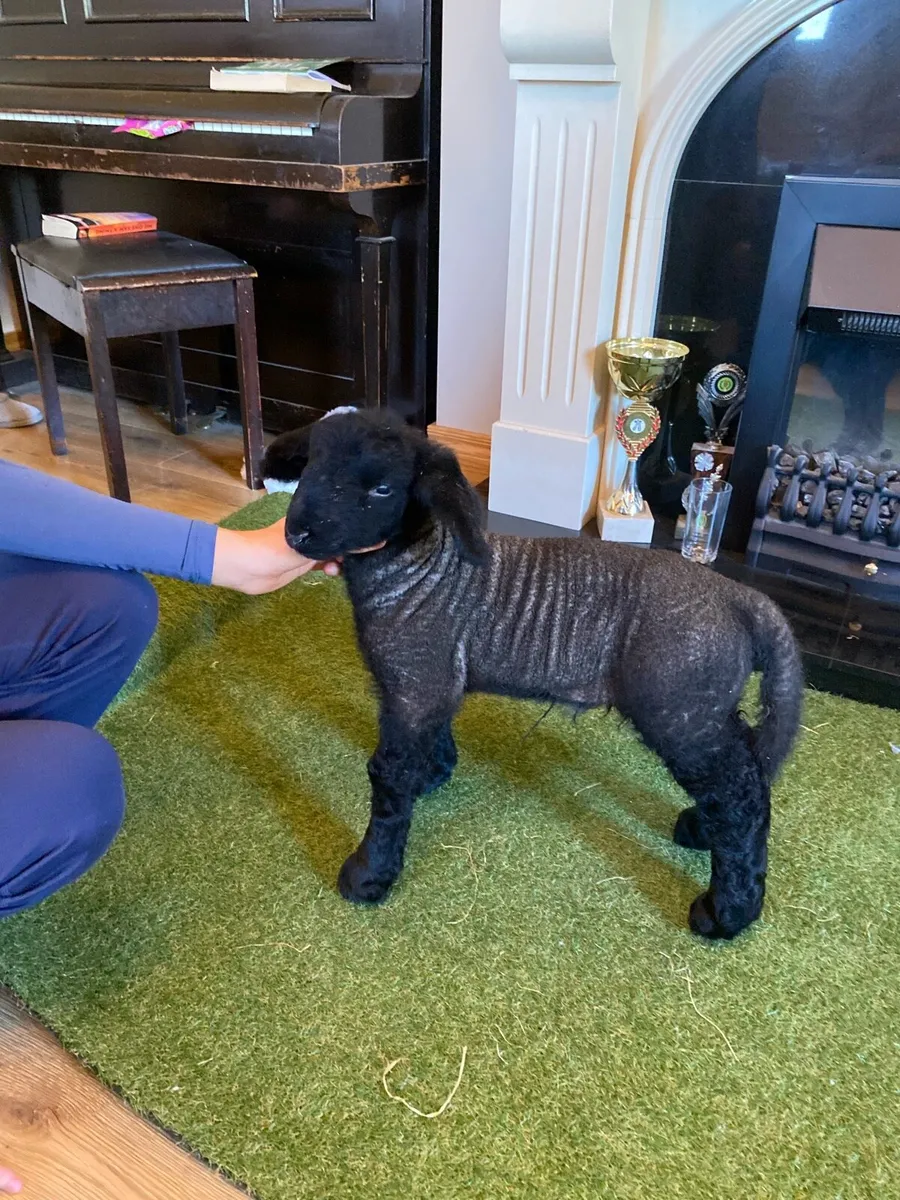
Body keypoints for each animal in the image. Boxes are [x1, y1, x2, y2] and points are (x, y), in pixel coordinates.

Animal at [262, 408, 803, 940]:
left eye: (381, 490)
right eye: (309, 466)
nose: (297, 534)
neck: (420, 564)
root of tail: (742, 598)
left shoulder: (414, 684)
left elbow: (388, 781)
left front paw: (368, 873)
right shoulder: (427, 685)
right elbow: (430, 739)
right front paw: (433, 773)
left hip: (681, 711)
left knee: (741, 796)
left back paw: (728, 912)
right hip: (709, 708)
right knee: (749, 770)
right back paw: (703, 830)